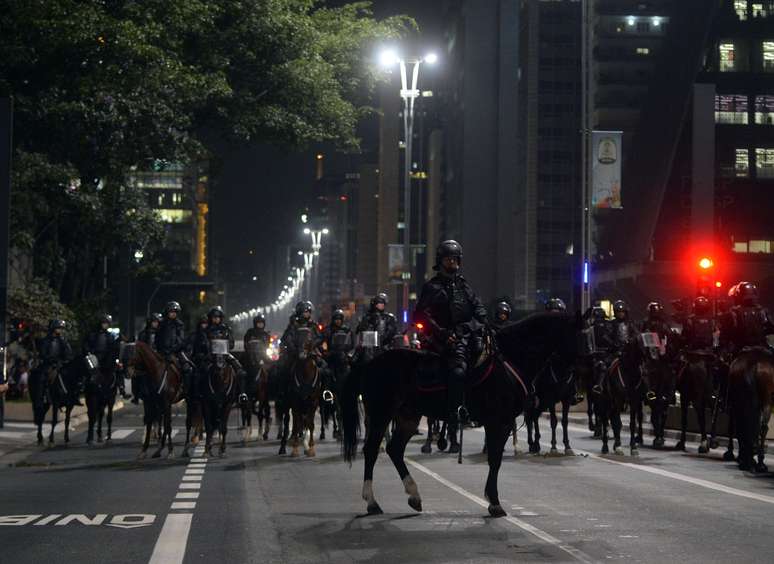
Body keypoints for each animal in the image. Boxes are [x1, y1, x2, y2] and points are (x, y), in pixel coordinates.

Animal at [342, 310, 580, 516]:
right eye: (579, 336)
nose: (570, 382)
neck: (510, 361)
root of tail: (371, 363)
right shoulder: (499, 422)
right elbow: (495, 459)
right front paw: (494, 503)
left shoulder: (501, 423)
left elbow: (495, 458)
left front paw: (492, 500)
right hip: (381, 414)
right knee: (372, 450)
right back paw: (372, 502)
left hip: (408, 416)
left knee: (394, 449)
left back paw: (414, 495)